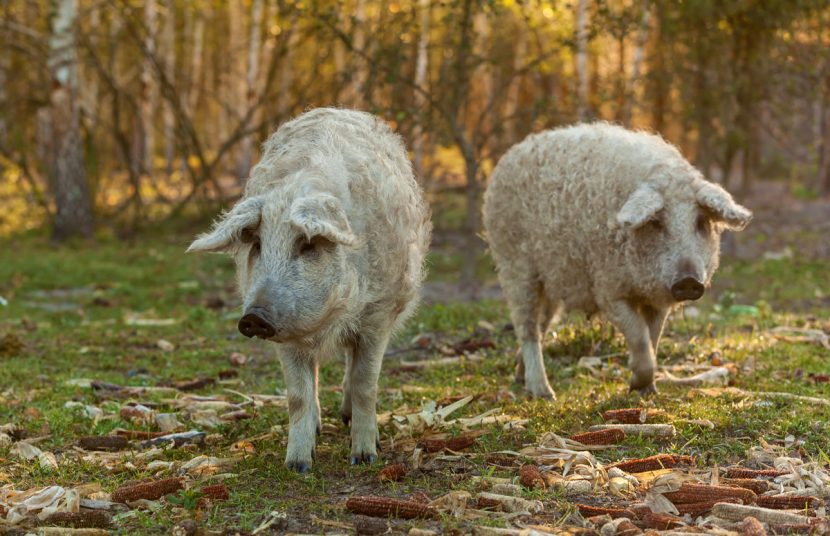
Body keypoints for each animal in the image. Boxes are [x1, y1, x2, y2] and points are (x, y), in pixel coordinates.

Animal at [186, 108, 432, 468]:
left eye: (307, 244)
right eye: (257, 245)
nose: (254, 317)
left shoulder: (379, 316)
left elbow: (365, 384)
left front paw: (364, 457)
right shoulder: (286, 336)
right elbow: (297, 396)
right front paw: (297, 465)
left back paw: (346, 419)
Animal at [484, 122, 756, 398]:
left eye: (700, 222)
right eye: (657, 222)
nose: (689, 281)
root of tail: (508, 157)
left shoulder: (658, 301)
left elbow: (653, 339)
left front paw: (648, 390)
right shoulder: (608, 290)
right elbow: (639, 336)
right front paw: (638, 387)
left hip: (549, 281)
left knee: (540, 325)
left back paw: (521, 378)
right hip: (514, 267)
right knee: (526, 328)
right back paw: (544, 393)